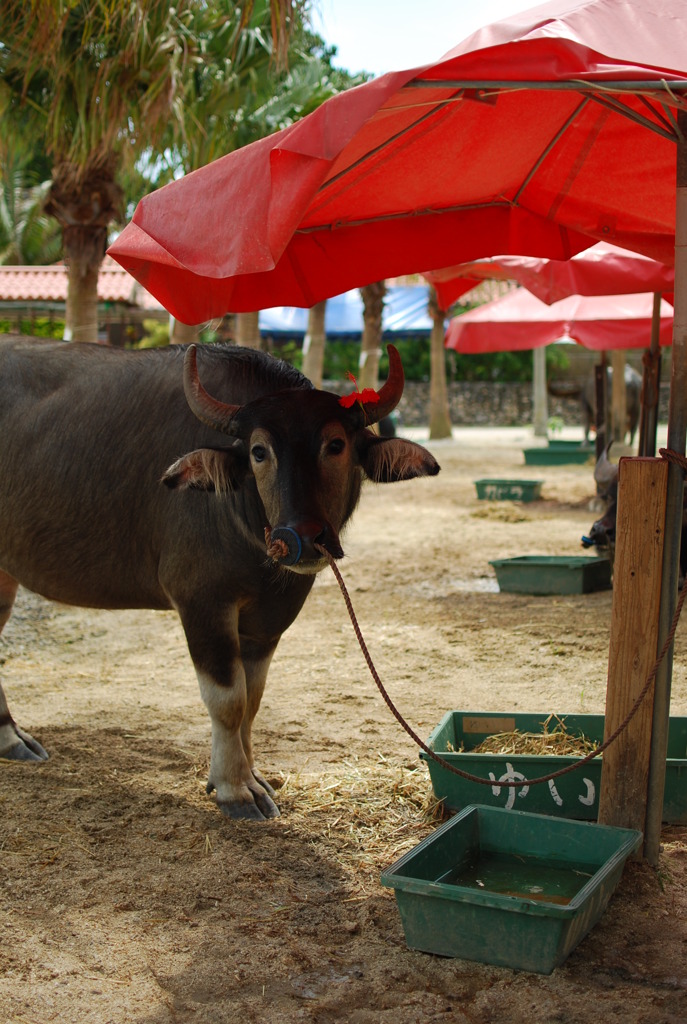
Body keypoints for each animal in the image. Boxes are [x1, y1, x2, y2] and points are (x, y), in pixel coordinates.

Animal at [0, 339, 440, 819]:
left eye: (336, 444)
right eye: (259, 451)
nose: (300, 539)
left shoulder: (269, 618)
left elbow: (253, 700)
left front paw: (252, 775)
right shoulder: (203, 602)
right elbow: (228, 700)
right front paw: (234, 788)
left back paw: (11, 739)